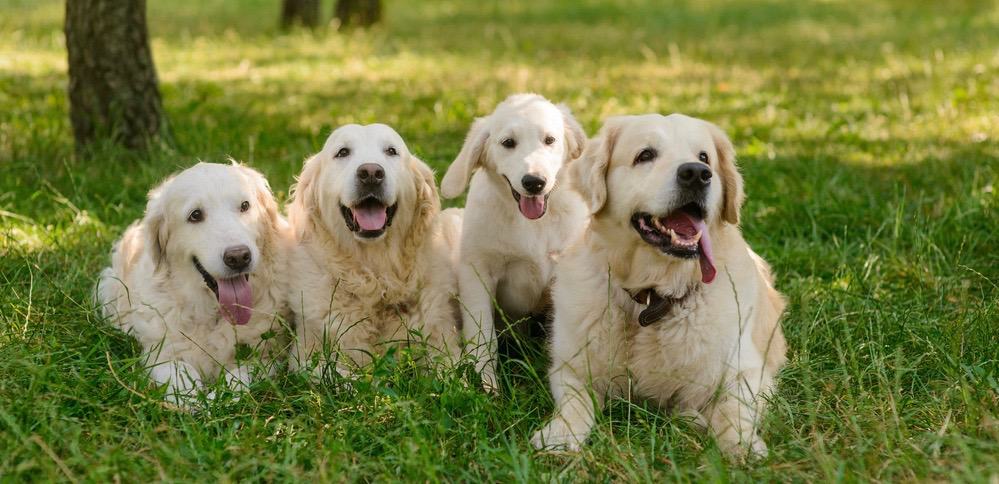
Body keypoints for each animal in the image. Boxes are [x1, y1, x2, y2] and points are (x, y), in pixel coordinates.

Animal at [97, 163, 292, 404]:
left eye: (245, 206)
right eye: (195, 215)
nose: (238, 257)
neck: (213, 313)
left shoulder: (267, 355)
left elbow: (237, 377)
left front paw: (217, 399)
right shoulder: (161, 353)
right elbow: (180, 372)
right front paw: (191, 401)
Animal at [288, 123, 462, 376]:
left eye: (391, 151)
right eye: (342, 152)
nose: (371, 173)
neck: (377, 280)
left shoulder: (445, 346)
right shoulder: (304, 357)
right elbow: (344, 376)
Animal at [442, 92, 588, 392]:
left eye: (550, 140)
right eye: (508, 143)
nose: (534, 182)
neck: (531, 223)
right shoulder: (477, 273)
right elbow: (483, 336)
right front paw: (485, 384)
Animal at [532, 113, 788, 458]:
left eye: (704, 157)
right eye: (645, 155)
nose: (697, 174)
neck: (652, 295)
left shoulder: (749, 371)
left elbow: (731, 408)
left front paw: (741, 444)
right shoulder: (570, 367)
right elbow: (575, 403)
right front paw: (560, 435)